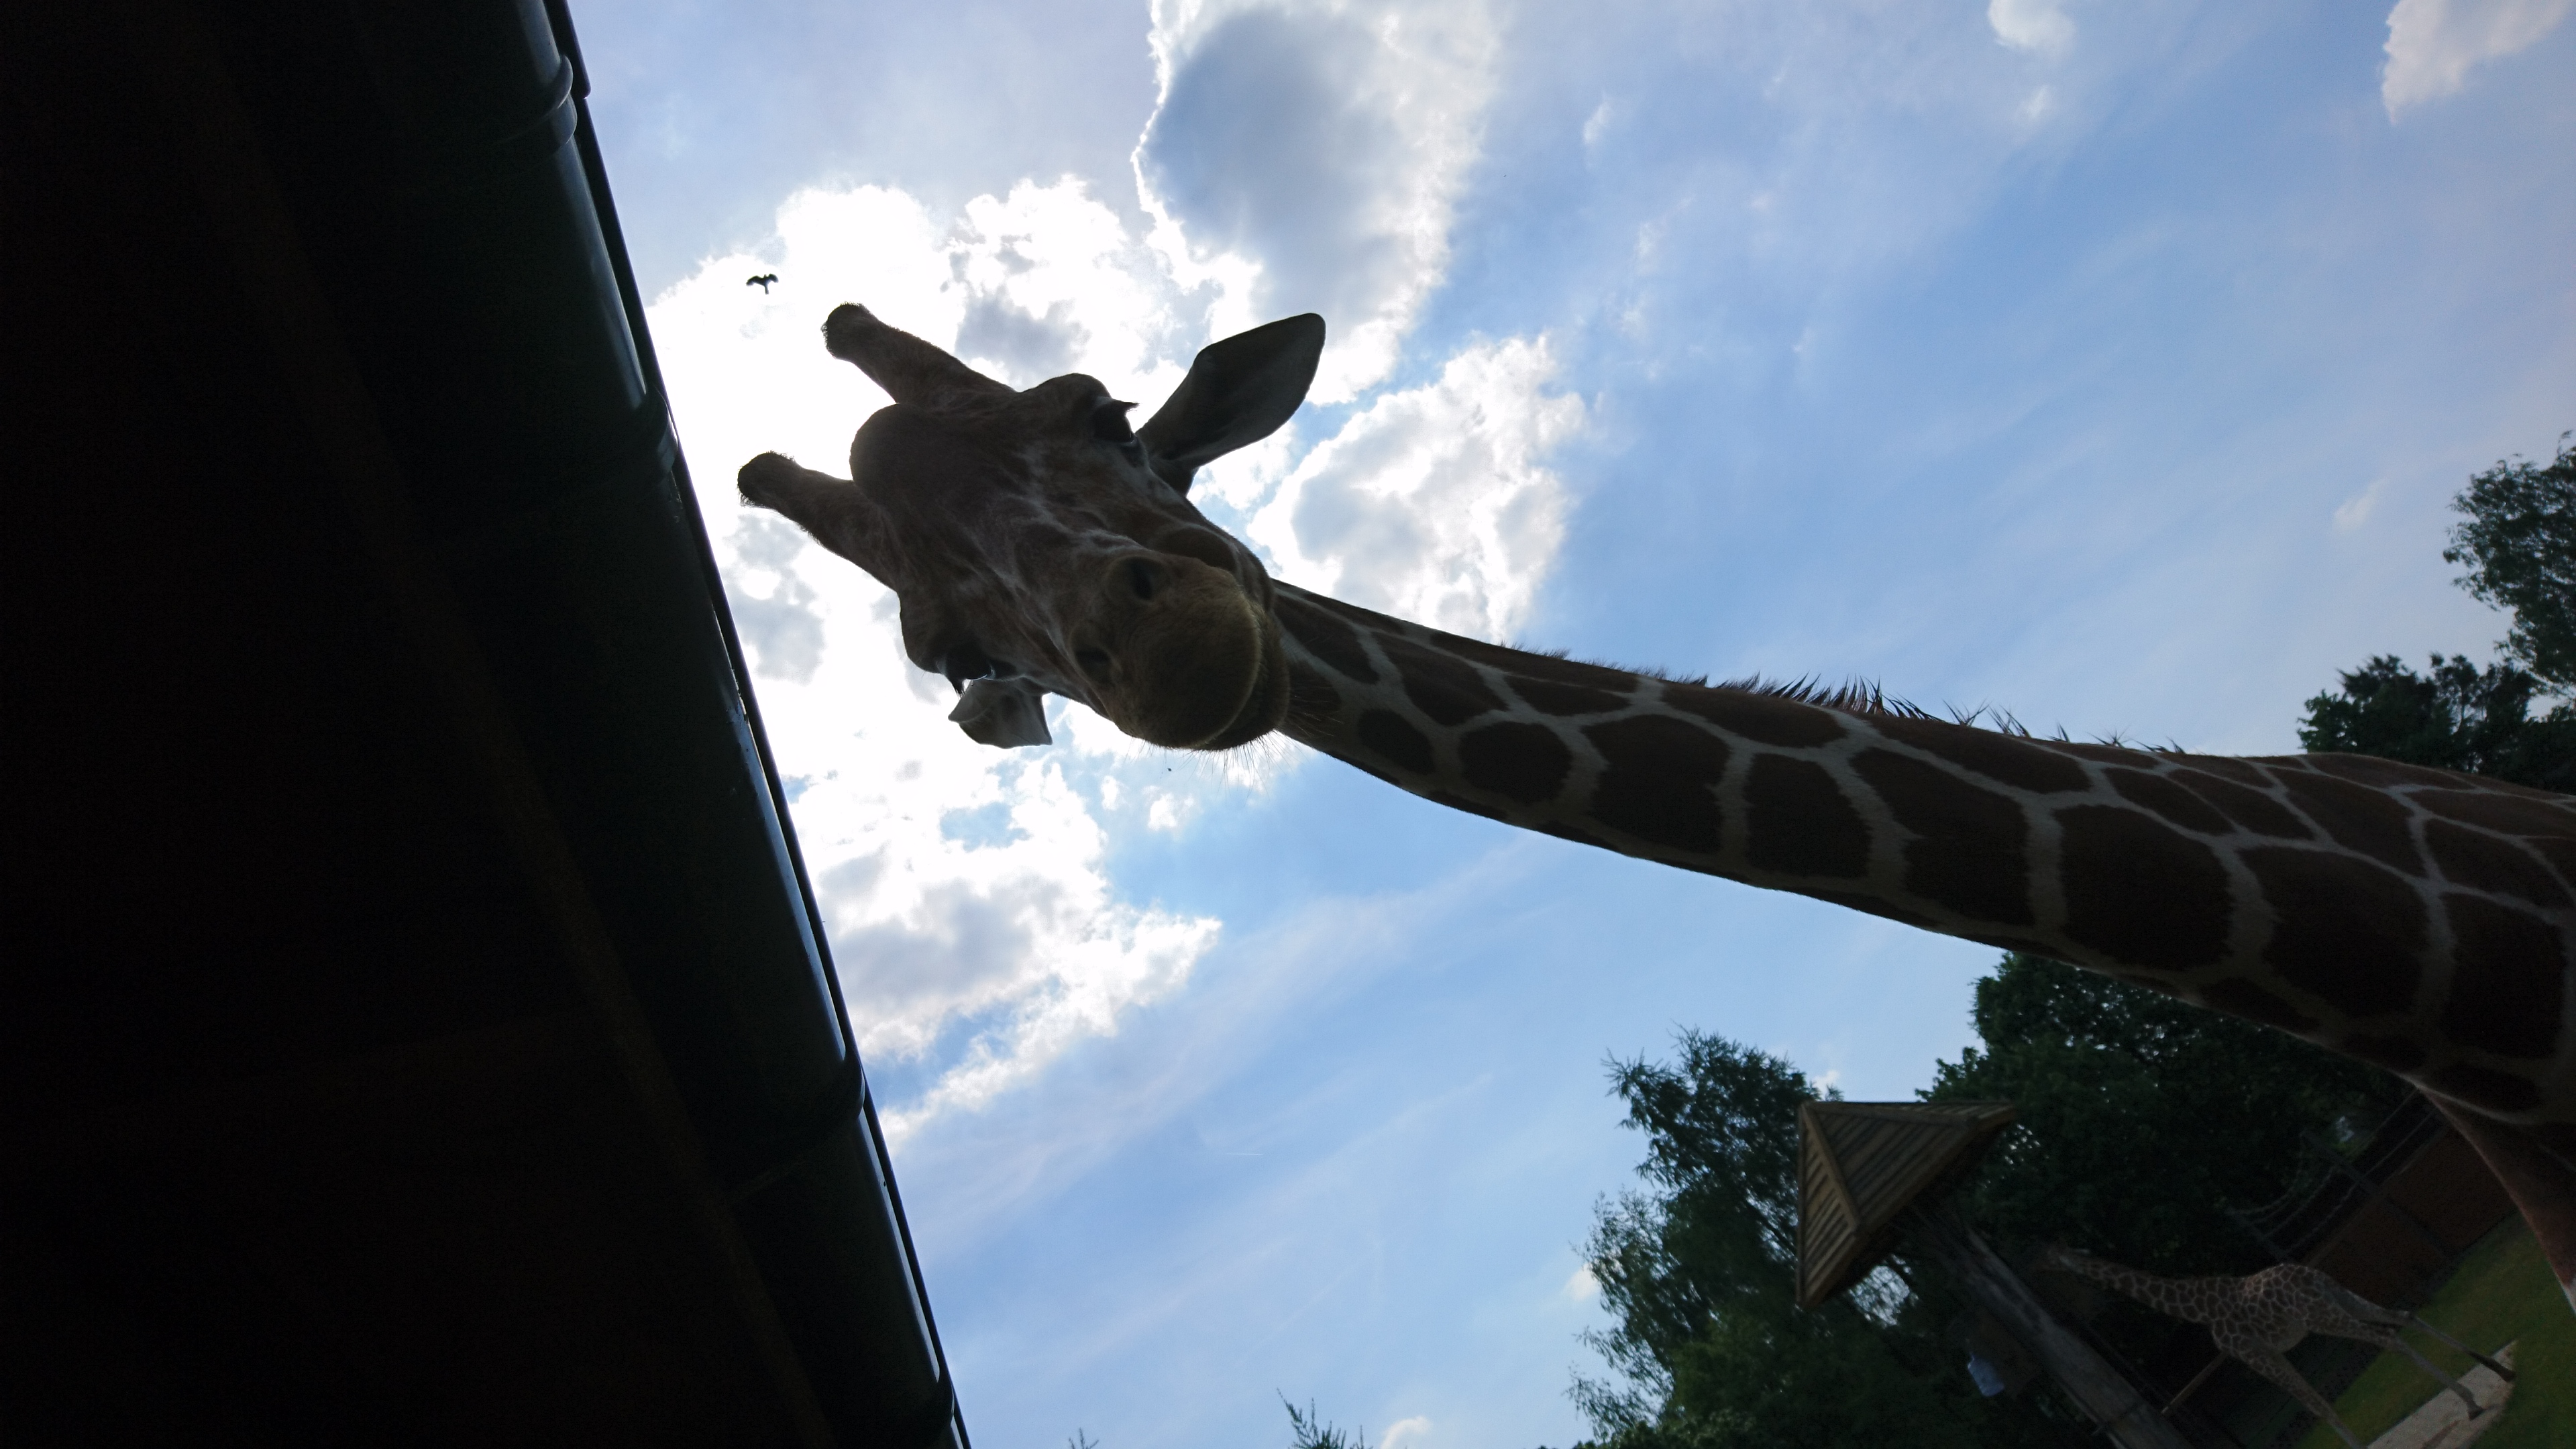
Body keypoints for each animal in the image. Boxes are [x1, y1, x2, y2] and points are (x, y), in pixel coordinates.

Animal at [2038, 1247, 2514, 1449]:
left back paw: (2473, 1402)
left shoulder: (2255, 1356)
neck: (2199, 1310)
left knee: (2389, 1337)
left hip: (2321, 1316)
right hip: (2335, 1296)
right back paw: (2497, 1374)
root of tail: (2305, 1275)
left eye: (2050, 1260)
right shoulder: (2276, 1352)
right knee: (2405, 1317)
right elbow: (2319, 1403)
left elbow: (2318, 1407)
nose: (2070, 1305)